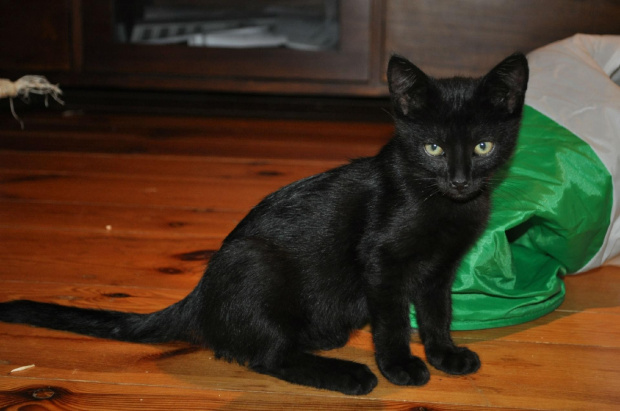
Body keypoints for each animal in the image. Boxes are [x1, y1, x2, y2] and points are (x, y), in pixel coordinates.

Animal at [0, 53, 528, 395]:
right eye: (432, 148)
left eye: (482, 146)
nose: (460, 180)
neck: (440, 202)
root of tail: (199, 298)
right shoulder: (382, 262)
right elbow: (394, 319)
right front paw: (400, 365)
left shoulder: (440, 269)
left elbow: (438, 313)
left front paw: (445, 354)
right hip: (255, 262)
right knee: (266, 355)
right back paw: (347, 375)